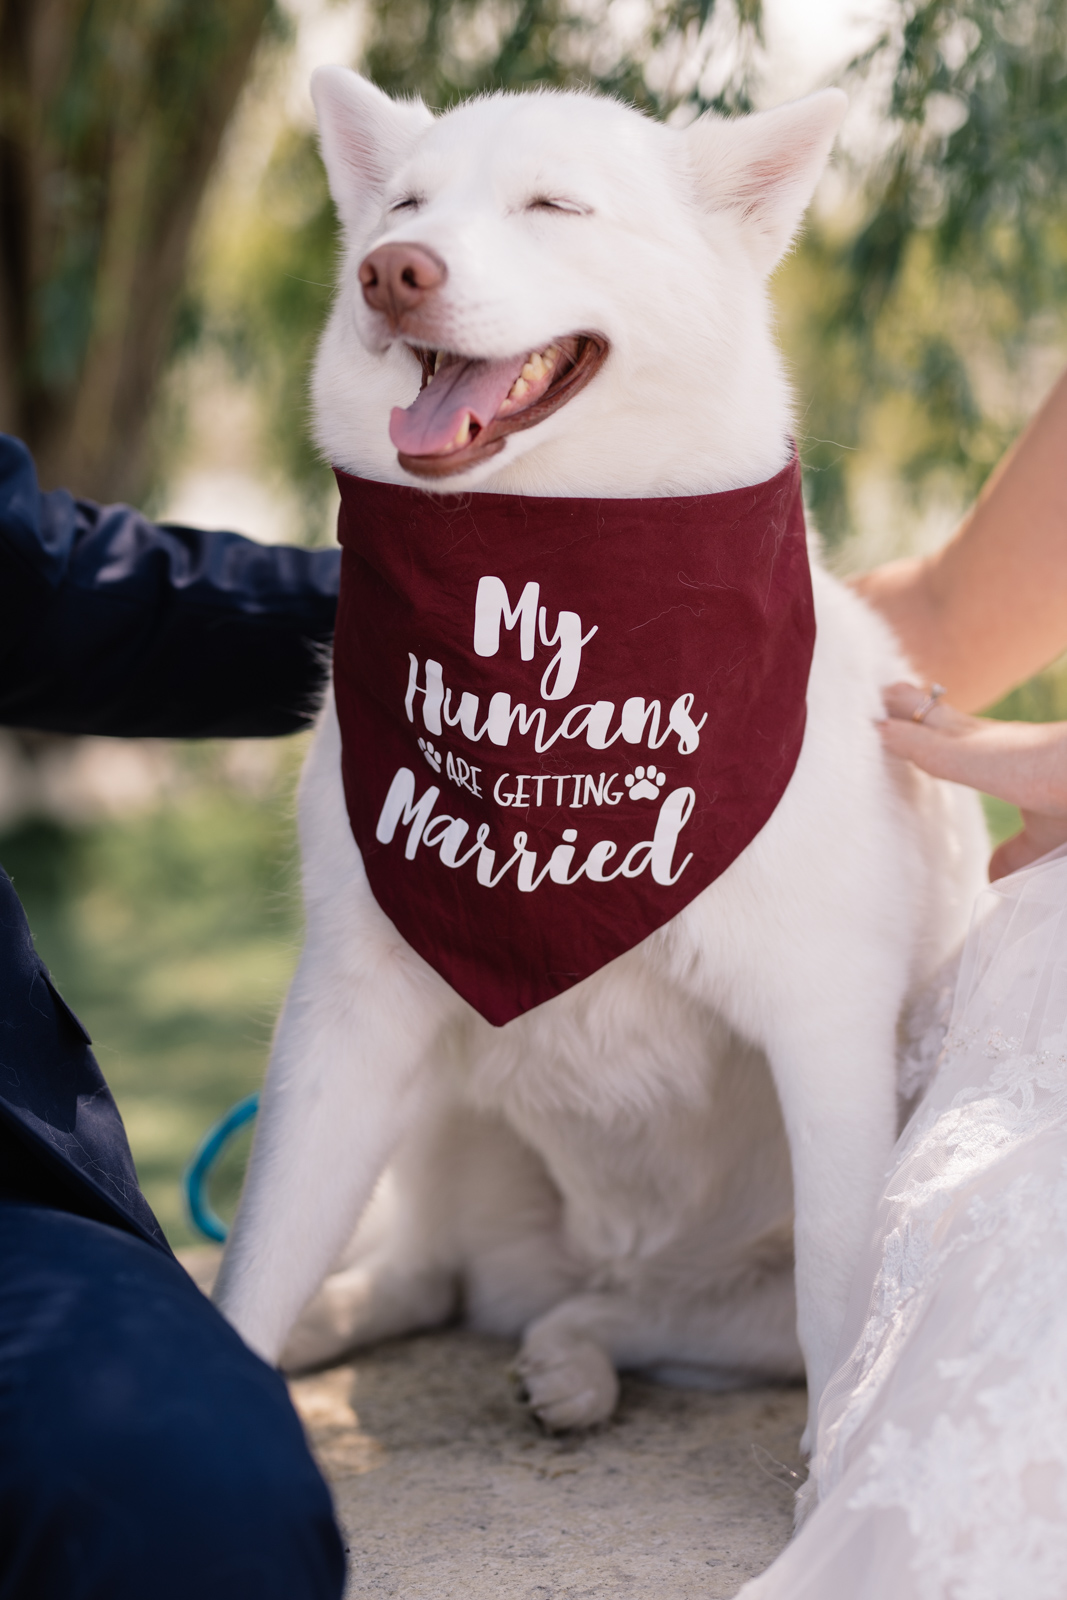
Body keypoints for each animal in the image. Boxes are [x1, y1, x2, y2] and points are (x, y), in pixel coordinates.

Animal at [212, 72, 991, 1440]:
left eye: (552, 207)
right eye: (406, 206)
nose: (389, 272)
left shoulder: (822, 1022)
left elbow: (838, 1298)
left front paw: (823, 1475)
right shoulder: (347, 1014)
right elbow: (259, 1256)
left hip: (716, 1288)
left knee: (624, 1314)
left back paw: (569, 1364)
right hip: (437, 1120)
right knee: (428, 1273)